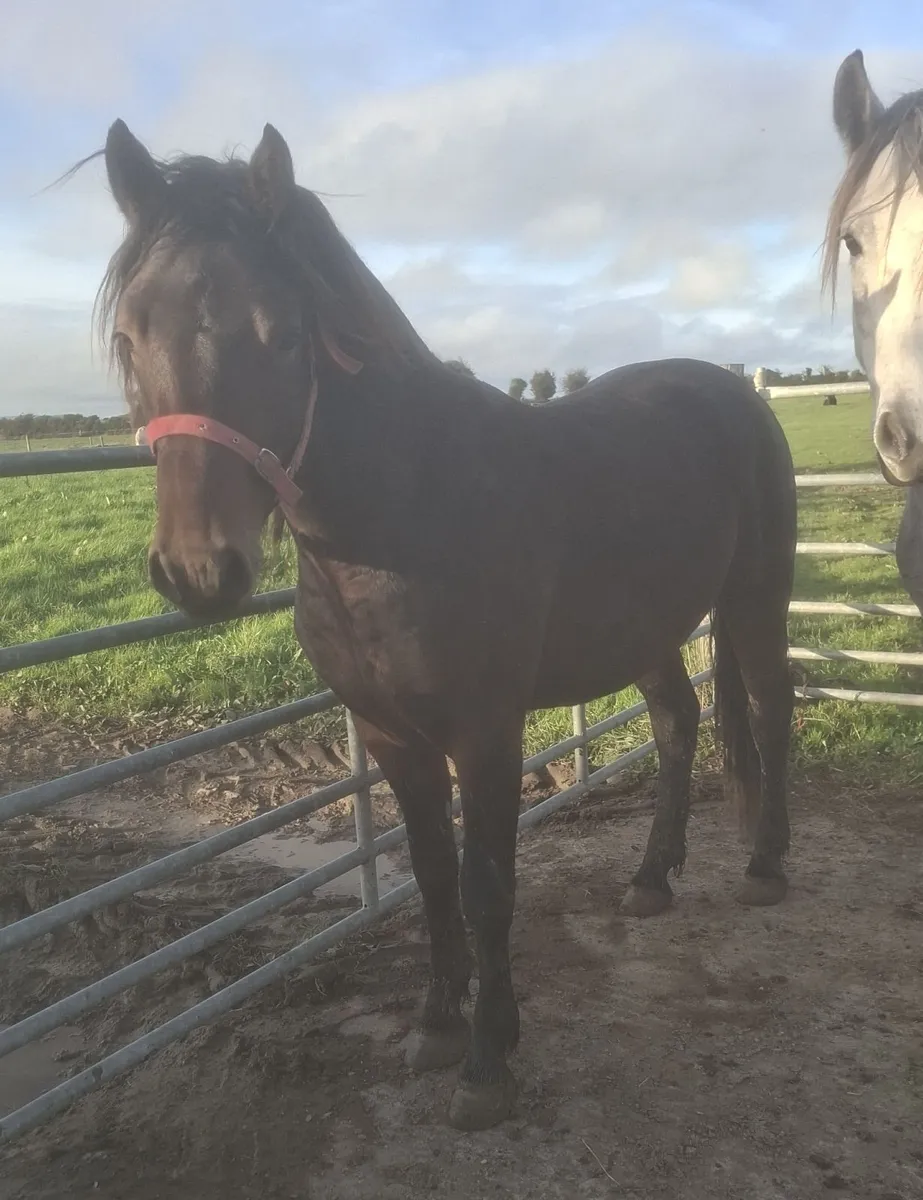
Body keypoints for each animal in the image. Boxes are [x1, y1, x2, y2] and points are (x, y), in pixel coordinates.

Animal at [90, 119, 796, 1130]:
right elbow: (427, 873)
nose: (198, 571)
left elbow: (484, 884)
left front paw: (487, 1062)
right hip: (646, 628)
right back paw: (650, 879)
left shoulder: (486, 734)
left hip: (752, 597)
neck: (406, 513)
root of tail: (733, 390)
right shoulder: (392, 737)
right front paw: (432, 1024)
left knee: (771, 710)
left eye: (279, 331)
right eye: (128, 335)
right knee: (675, 720)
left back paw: (766, 868)